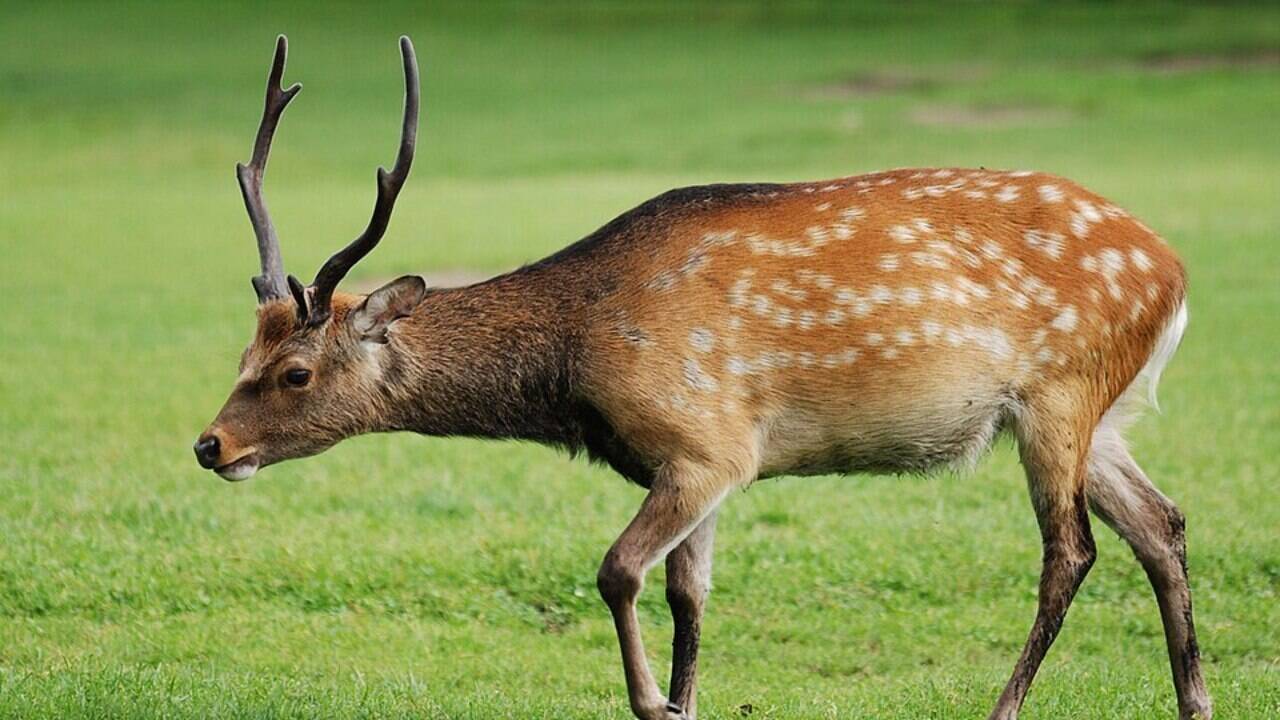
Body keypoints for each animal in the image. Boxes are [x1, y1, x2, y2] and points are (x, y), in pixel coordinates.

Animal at [194, 35, 1212, 720]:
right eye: (241, 354)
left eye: (294, 372)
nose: (209, 444)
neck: (576, 363)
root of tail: (1172, 272)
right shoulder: (696, 466)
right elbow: (689, 595)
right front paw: (685, 699)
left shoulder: (704, 441)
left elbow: (615, 572)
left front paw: (654, 701)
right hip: (1103, 413)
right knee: (1161, 524)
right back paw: (1195, 699)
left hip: (1060, 391)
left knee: (1071, 551)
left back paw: (1005, 705)